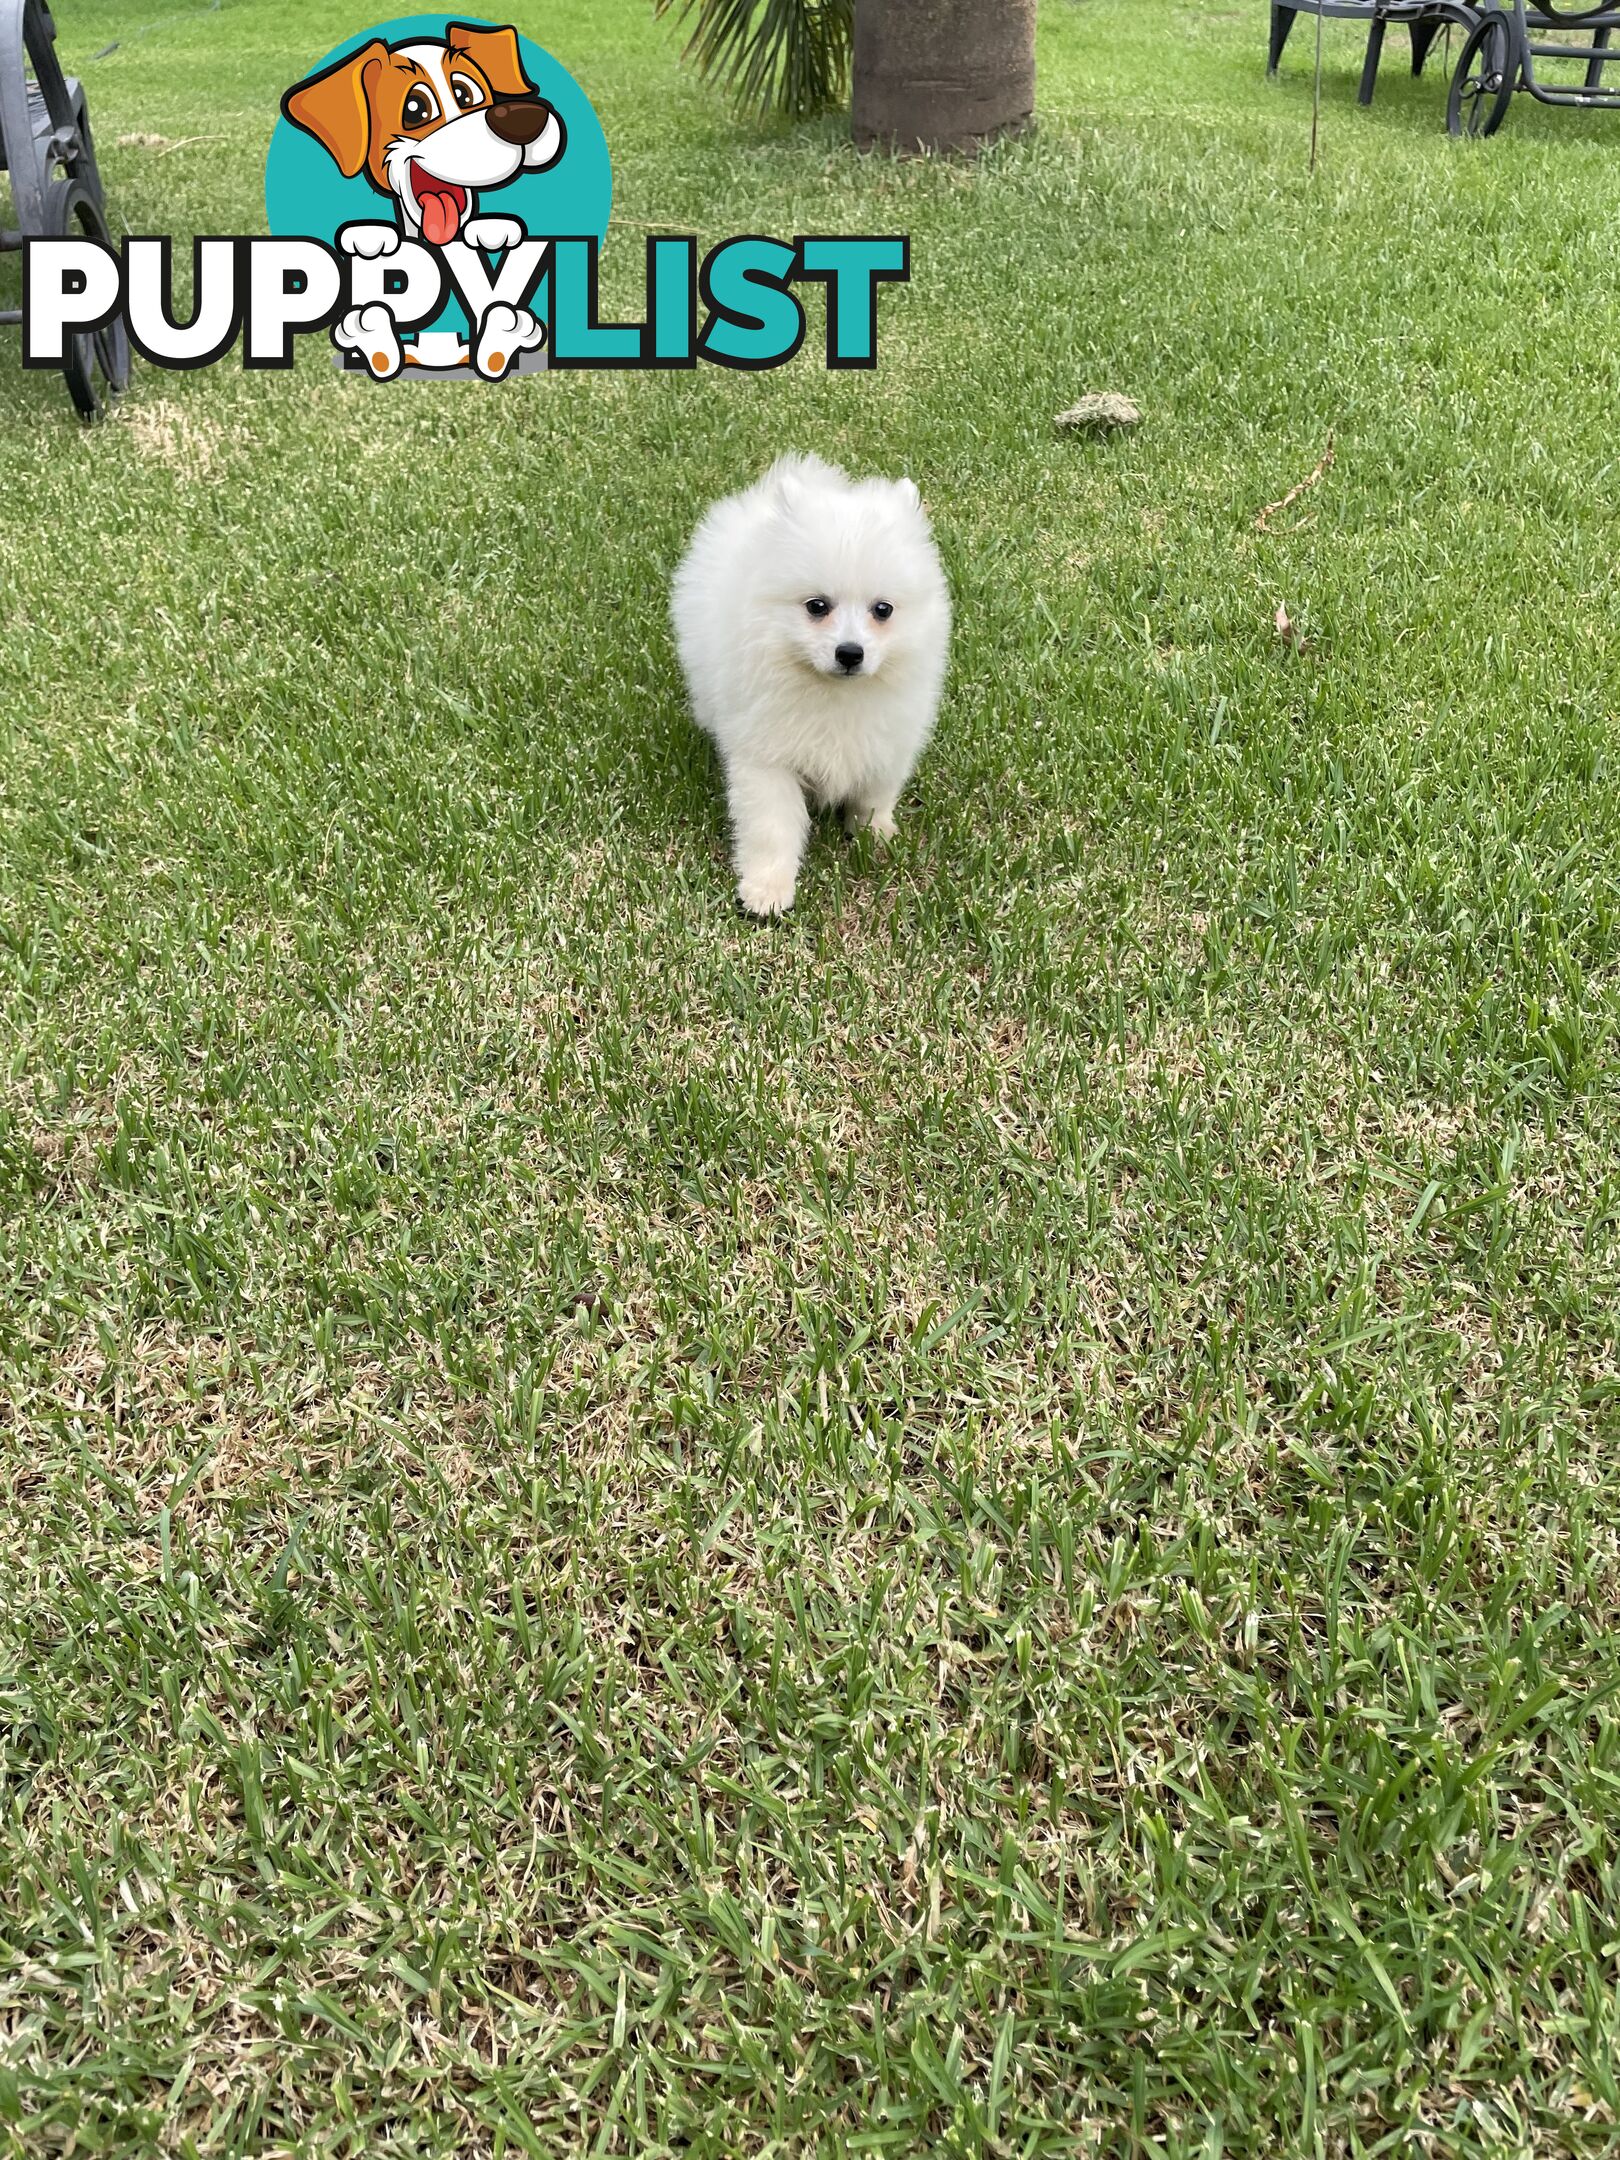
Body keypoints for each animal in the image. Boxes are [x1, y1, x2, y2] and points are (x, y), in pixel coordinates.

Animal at [673, 460, 950, 915]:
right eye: (817, 606)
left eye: (883, 610)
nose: (850, 652)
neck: (833, 693)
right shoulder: (768, 758)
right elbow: (772, 826)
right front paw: (766, 889)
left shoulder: (887, 742)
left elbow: (874, 796)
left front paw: (876, 837)